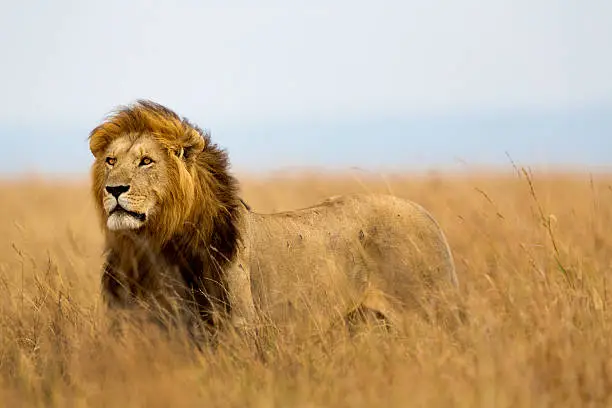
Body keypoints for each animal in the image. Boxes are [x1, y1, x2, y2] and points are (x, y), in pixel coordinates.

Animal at [88, 100, 456, 342]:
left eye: (146, 161)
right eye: (111, 160)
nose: (114, 189)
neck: (153, 245)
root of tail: (427, 215)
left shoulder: (237, 327)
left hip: (429, 315)